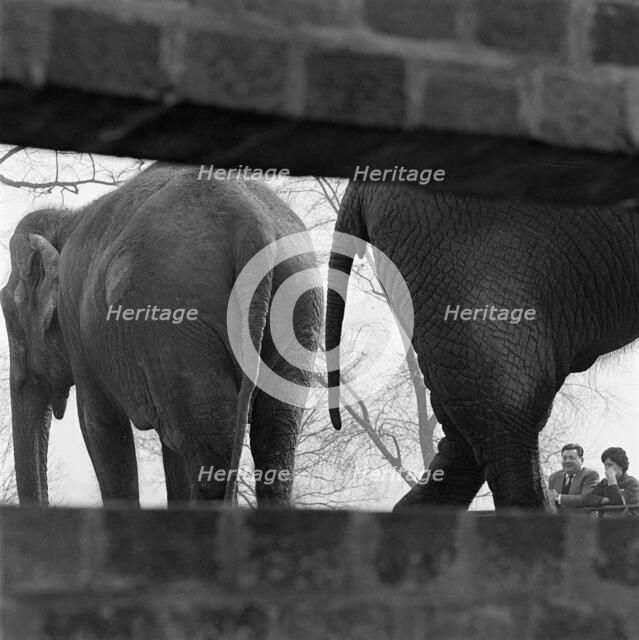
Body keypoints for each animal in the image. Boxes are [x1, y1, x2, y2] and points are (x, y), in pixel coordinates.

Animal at [1, 163, 322, 506]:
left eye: (10, 316)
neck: (67, 219)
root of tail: (251, 221)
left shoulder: (78, 328)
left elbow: (100, 426)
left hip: (177, 316)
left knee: (212, 449)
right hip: (298, 304)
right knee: (275, 434)